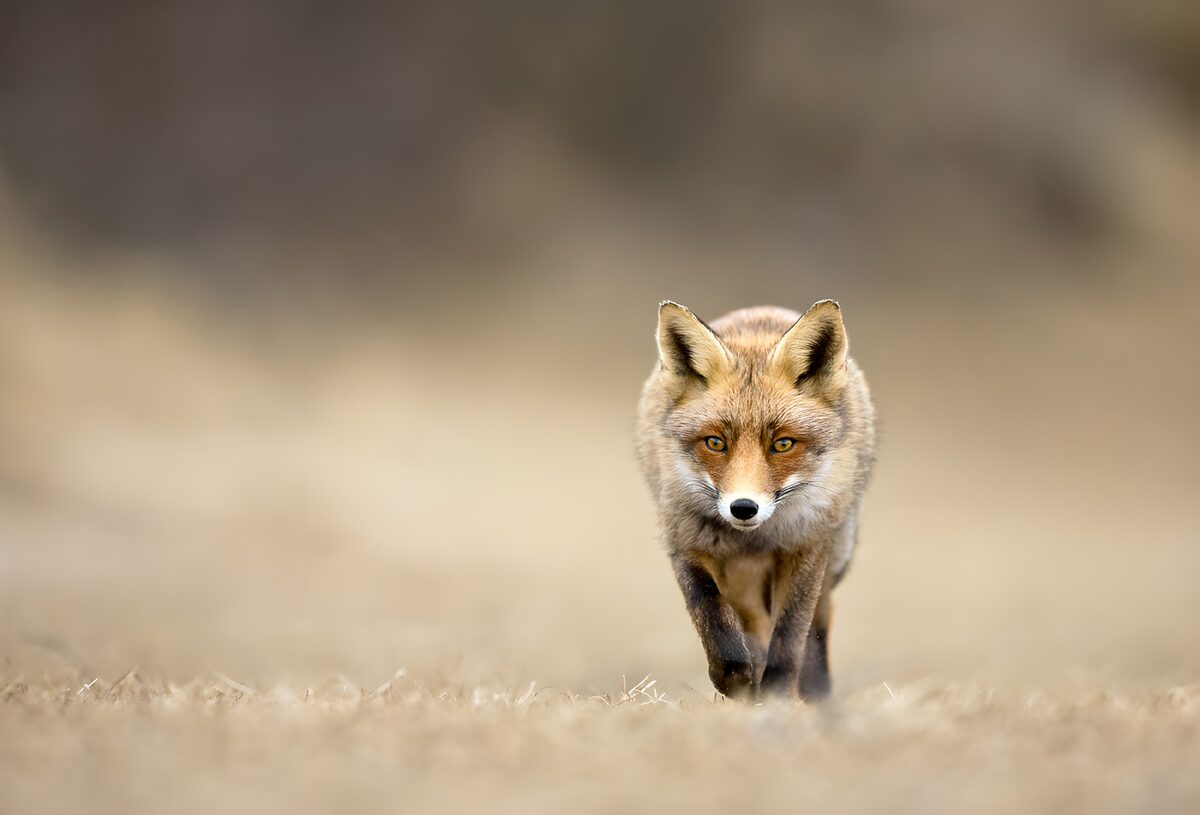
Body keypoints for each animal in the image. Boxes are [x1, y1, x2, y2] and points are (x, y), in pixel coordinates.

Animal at [635, 300, 876, 701]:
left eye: (783, 444)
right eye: (715, 442)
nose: (743, 508)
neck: (757, 538)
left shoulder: (806, 546)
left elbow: (790, 636)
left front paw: (777, 695)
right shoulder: (685, 540)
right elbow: (711, 616)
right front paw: (739, 682)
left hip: (833, 556)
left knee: (814, 630)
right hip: (740, 578)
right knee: (755, 623)